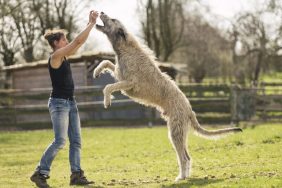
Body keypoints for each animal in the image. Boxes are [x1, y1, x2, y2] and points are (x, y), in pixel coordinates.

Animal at [93, 12, 241, 182]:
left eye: (113, 19)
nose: (101, 12)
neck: (125, 48)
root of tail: (189, 110)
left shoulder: (130, 83)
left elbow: (108, 86)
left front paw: (107, 100)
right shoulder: (119, 74)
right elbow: (107, 63)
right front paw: (97, 71)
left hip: (175, 132)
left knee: (184, 157)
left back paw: (181, 177)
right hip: (179, 132)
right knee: (187, 156)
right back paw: (185, 176)